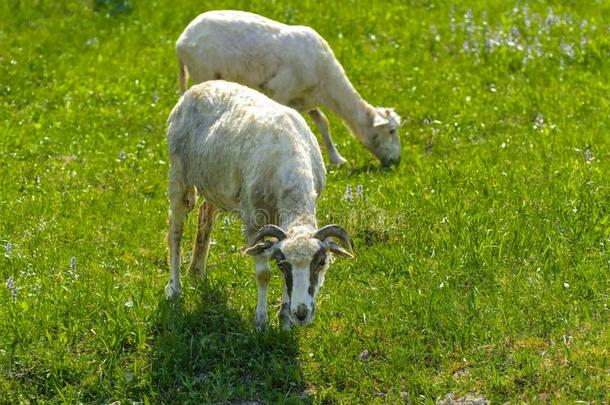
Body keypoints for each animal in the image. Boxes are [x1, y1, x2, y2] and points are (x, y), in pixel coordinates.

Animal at [164, 80, 354, 330]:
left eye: (321, 262)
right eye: (282, 264)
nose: (301, 314)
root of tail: (196, 88)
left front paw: (285, 321)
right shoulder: (255, 220)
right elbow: (264, 274)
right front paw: (261, 322)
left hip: (215, 185)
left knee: (205, 216)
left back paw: (196, 271)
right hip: (178, 174)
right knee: (175, 231)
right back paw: (175, 287)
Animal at [176, 10, 402, 167]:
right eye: (391, 131)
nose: (396, 162)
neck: (328, 85)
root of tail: (181, 40)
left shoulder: (306, 98)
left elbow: (323, 123)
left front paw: (336, 158)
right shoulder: (279, 91)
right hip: (203, 73)